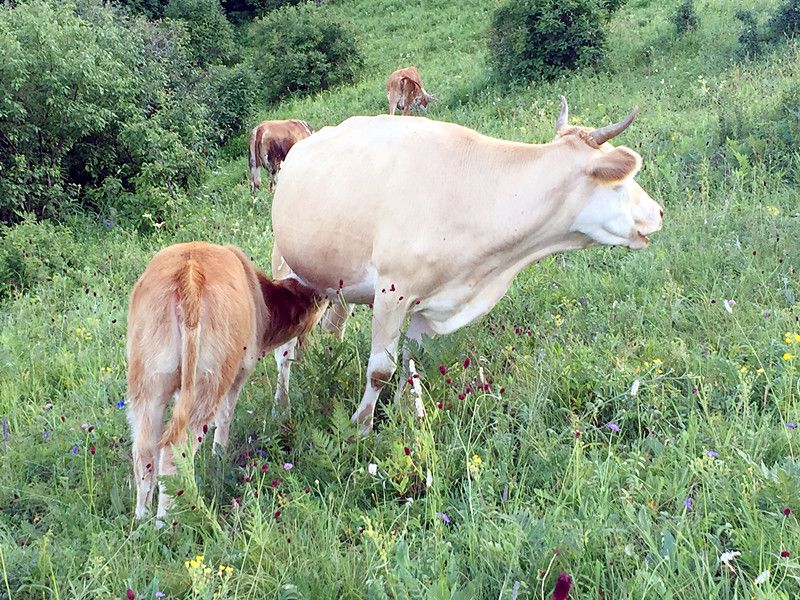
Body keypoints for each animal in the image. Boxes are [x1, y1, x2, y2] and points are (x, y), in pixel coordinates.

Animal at [126, 241, 324, 524]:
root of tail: (189, 271)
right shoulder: (238, 374)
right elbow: (225, 418)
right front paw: (218, 458)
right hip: (210, 380)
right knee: (176, 448)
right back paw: (167, 522)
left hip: (148, 383)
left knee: (144, 450)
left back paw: (142, 519)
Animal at [268, 98, 664, 436]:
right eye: (622, 181)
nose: (659, 212)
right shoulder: (393, 293)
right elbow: (381, 370)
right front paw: (361, 428)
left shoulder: (431, 301)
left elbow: (413, 360)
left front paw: (410, 415)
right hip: (286, 268)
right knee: (284, 352)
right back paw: (281, 408)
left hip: (334, 286)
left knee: (331, 330)